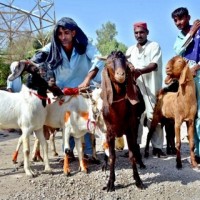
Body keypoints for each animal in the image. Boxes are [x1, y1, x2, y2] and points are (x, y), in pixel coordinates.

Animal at [100, 50, 145, 191]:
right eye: (109, 62)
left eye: (125, 61)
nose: (121, 74)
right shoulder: (109, 133)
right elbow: (112, 157)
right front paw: (110, 183)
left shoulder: (130, 130)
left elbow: (131, 155)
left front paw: (138, 180)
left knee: (136, 146)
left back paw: (141, 162)